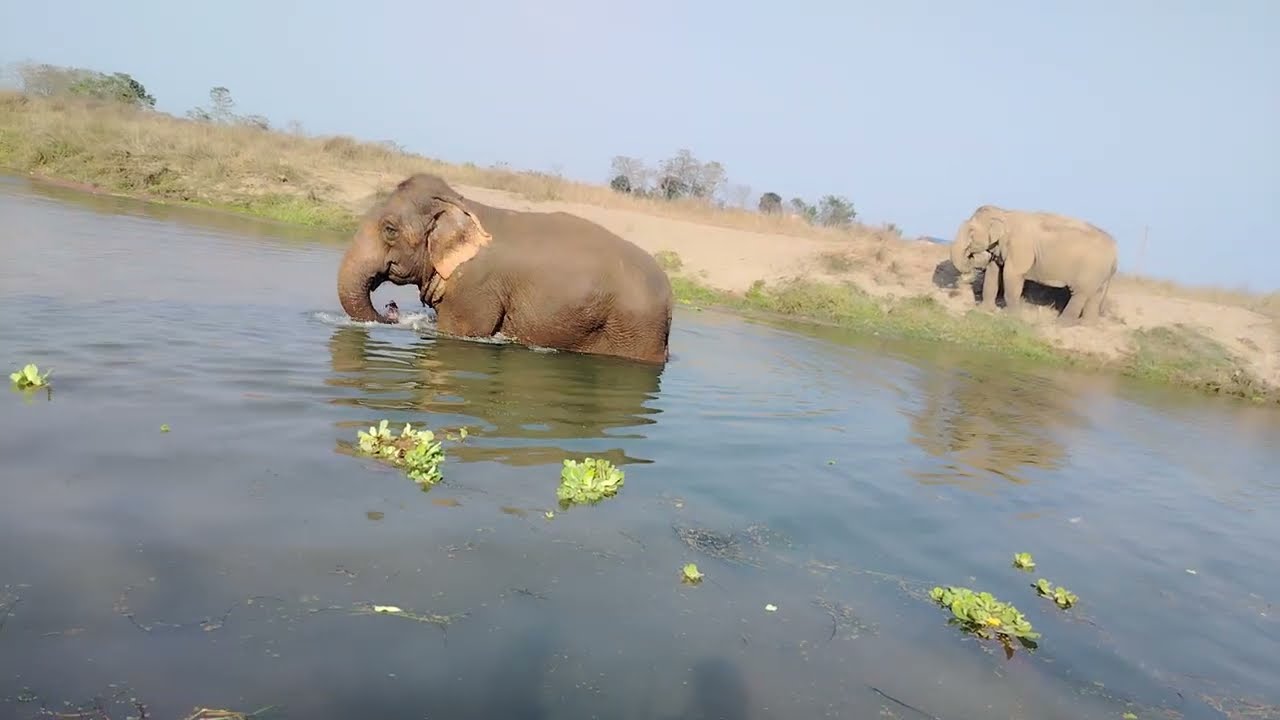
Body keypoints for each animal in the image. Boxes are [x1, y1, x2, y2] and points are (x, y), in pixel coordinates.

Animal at [336, 173, 675, 363]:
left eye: (389, 230)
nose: (391, 310)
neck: (462, 205)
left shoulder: (475, 289)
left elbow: (458, 332)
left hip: (635, 330)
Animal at [949, 204, 1119, 325]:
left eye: (971, 232)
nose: (971, 255)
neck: (1004, 213)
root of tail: (1116, 252)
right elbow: (993, 273)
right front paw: (984, 309)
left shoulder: (1020, 246)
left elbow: (1012, 275)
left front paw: (1010, 316)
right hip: (1101, 274)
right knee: (1095, 295)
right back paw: (1087, 325)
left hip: (1090, 270)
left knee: (1080, 294)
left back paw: (1059, 324)